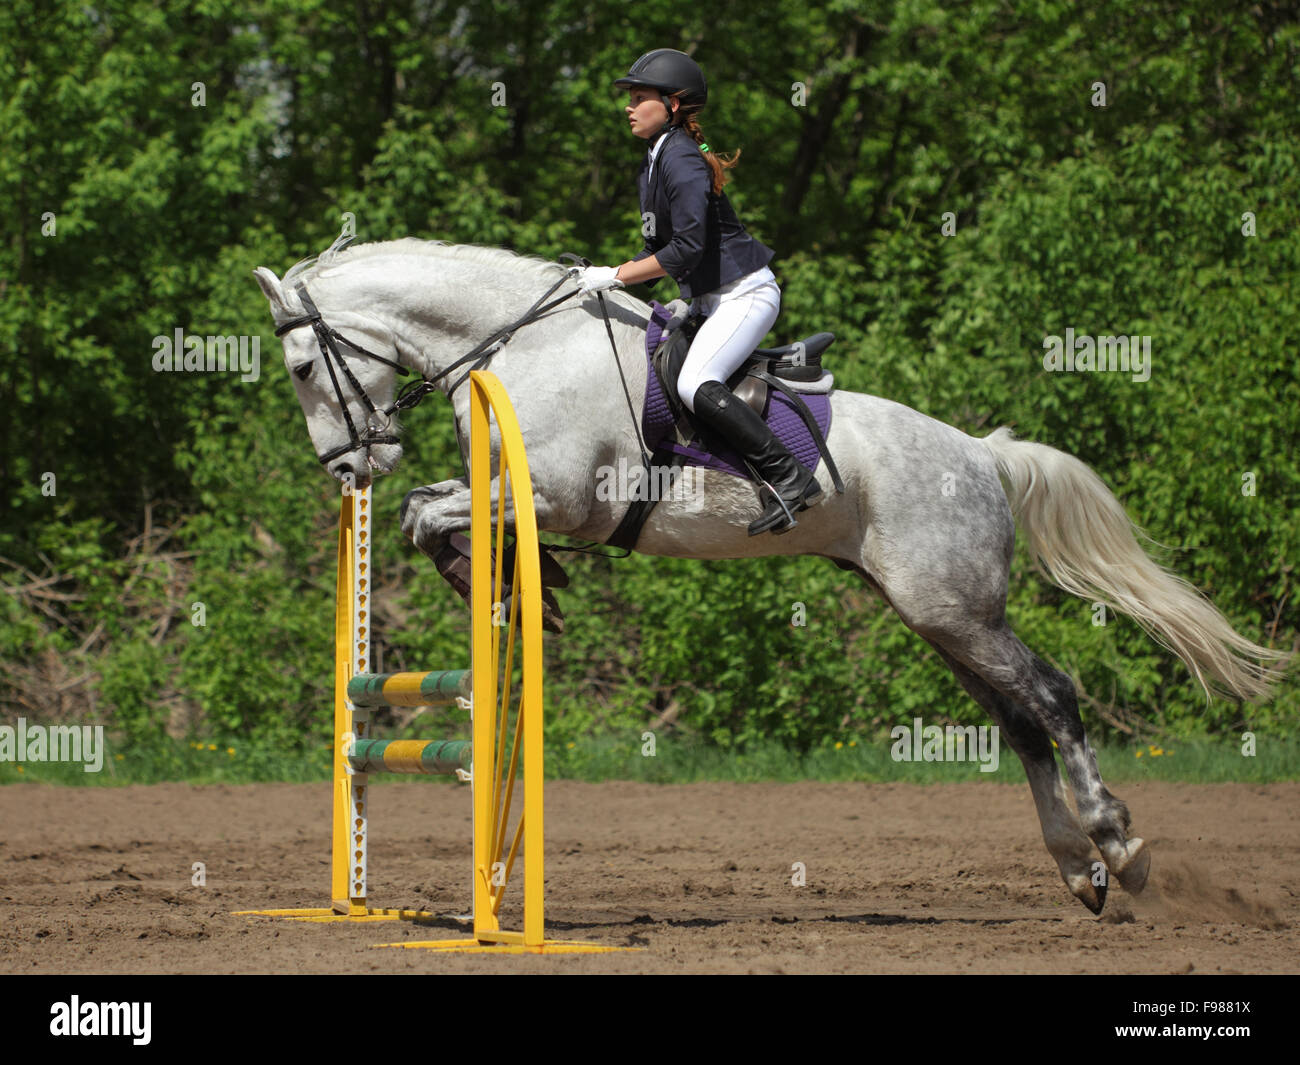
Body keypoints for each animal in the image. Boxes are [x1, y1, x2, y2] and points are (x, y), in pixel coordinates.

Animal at [254, 234, 1286, 915]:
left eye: (303, 366)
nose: (349, 466)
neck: (523, 343)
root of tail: (985, 454)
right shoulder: (515, 493)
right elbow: (425, 509)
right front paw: (519, 589)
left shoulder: (563, 497)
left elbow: (433, 512)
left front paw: (517, 588)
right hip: (938, 614)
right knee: (1021, 718)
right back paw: (1080, 869)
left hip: (953, 607)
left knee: (1055, 697)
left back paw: (1122, 845)